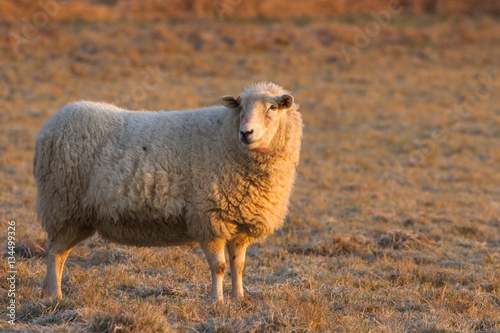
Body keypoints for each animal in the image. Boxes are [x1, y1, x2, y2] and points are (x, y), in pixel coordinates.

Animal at [34, 81, 304, 300]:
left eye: (273, 108)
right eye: (240, 108)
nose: (246, 133)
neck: (225, 138)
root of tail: (53, 122)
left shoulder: (239, 223)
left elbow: (238, 266)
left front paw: (239, 299)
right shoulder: (208, 218)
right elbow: (219, 267)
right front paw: (217, 301)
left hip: (78, 216)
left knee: (60, 253)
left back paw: (49, 292)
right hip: (62, 205)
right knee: (54, 253)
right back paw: (55, 295)